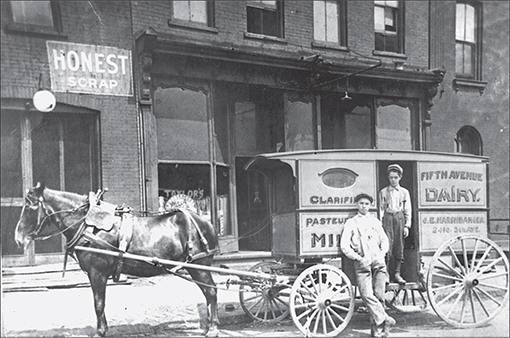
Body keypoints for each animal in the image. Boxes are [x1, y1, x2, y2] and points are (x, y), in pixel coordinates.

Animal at [15, 184, 219, 336]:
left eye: (30, 206)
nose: (18, 238)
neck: (86, 225)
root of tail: (205, 222)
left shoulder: (97, 273)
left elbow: (98, 303)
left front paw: (100, 332)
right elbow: (99, 303)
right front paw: (103, 329)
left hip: (199, 267)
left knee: (211, 292)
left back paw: (213, 328)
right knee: (209, 293)